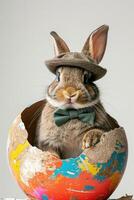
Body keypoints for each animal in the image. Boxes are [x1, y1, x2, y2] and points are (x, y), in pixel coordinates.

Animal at [34, 25, 119, 159]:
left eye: (87, 78)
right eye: (57, 76)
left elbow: (99, 131)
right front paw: (52, 159)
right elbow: (50, 151)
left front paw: (89, 140)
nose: (70, 92)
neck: (71, 113)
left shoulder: (106, 129)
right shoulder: (46, 142)